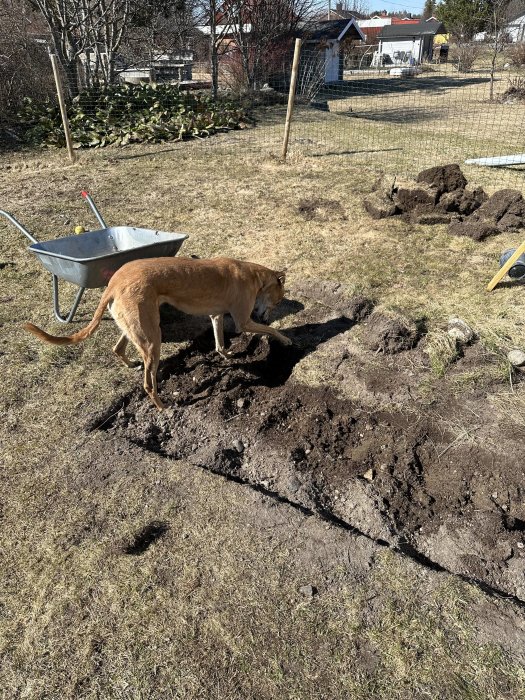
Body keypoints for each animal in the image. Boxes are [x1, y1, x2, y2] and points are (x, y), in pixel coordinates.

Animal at [24, 258, 290, 410]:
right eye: (278, 301)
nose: (263, 315)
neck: (252, 274)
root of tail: (113, 284)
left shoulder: (215, 316)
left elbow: (219, 342)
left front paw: (225, 355)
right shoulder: (243, 321)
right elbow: (270, 330)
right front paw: (285, 339)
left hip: (137, 327)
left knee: (118, 348)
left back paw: (131, 364)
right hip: (153, 340)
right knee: (148, 385)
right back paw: (163, 407)